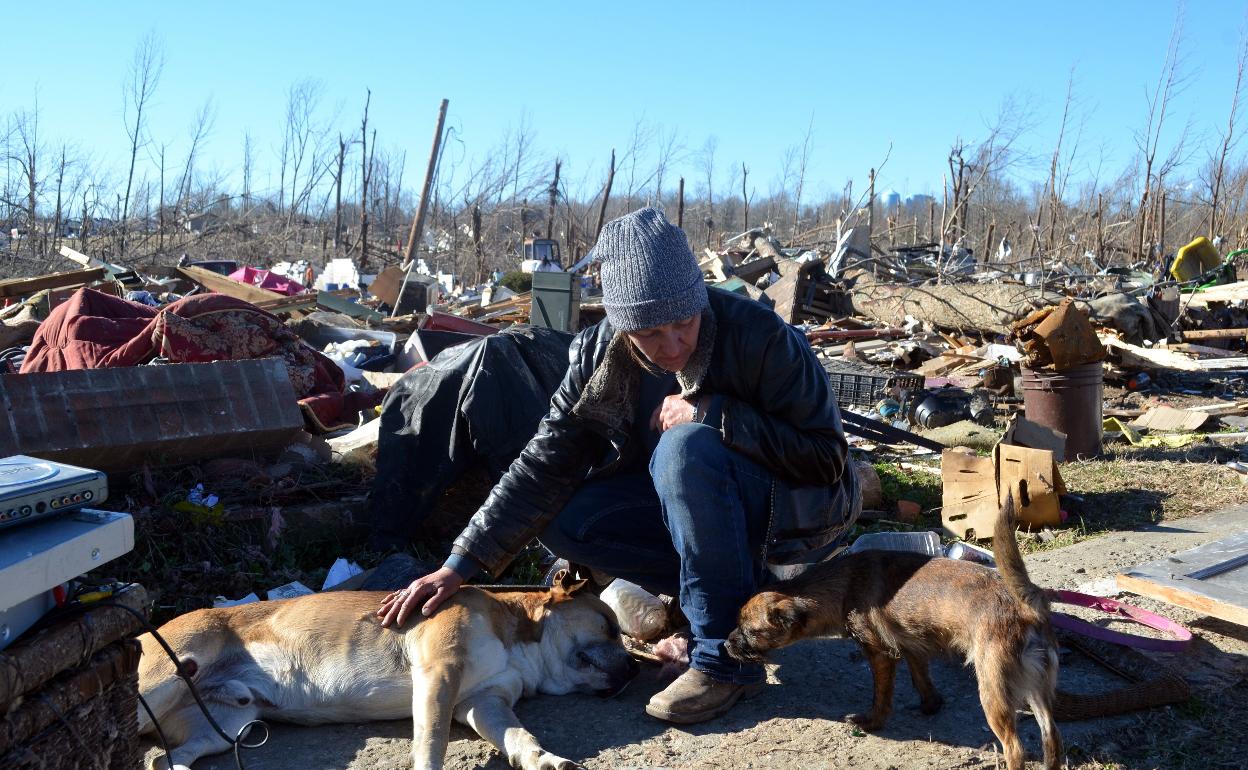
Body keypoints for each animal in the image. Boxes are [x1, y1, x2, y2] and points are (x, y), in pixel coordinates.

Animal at [139, 571, 633, 768]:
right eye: (610, 627)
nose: (632, 669)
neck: (518, 637)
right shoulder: (438, 672)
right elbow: (431, 744)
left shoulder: (483, 702)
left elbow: (520, 737)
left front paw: (544, 759)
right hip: (162, 682)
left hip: (228, 726)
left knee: (164, 759)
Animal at [728, 499, 1058, 768]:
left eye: (750, 632)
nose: (727, 644)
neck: (841, 585)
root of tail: (1026, 606)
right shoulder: (911, 646)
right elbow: (921, 678)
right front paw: (930, 705)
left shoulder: (880, 654)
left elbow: (881, 695)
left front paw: (872, 722)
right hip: (1038, 691)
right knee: (1052, 739)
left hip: (992, 689)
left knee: (1015, 747)